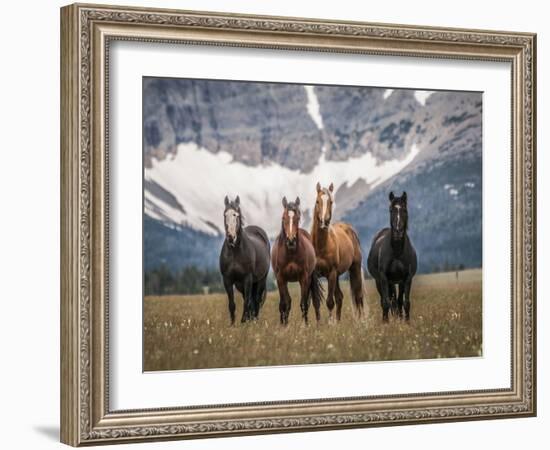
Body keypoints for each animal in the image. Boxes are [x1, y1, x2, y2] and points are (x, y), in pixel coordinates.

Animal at [220, 195, 272, 326]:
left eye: (236, 215)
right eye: (225, 214)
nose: (231, 237)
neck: (235, 252)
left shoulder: (247, 278)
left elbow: (247, 302)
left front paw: (243, 322)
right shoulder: (227, 280)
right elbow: (232, 304)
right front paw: (233, 324)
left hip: (260, 280)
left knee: (256, 299)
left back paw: (254, 320)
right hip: (241, 285)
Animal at [272, 196, 326, 324]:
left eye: (298, 217)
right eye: (283, 218)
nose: (291, 241)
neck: (290, 253)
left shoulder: (304, 278)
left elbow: (304, 304)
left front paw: (304, 326)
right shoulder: (280, 278)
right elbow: (284, 304)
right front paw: (284, 325)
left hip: (311, 278)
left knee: (315, 301)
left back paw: (318, 324)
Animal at [310, 181, 366, 322]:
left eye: (331, 201)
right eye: (317, 201)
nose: (324, 221)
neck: (320, 246)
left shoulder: (331, 273)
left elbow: (330, 302)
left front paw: (331, 323)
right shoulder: (313, 275)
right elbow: (316, 302)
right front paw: (319, 324)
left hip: (354, 268)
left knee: (358, 296)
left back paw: (361, 321)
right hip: (338, 276)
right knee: (340, 297)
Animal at [370, 192, 418, 322]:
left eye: (404, 210)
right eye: (391, 210)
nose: (398, 232)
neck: (397, 251)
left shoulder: (407, 278)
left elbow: (405, 302)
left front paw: (406, 322)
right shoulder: (384, 278)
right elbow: (386, 302)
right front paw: (385, 322)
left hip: (397, 282)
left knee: (397, 301)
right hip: (380, 281)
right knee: (387, 301)